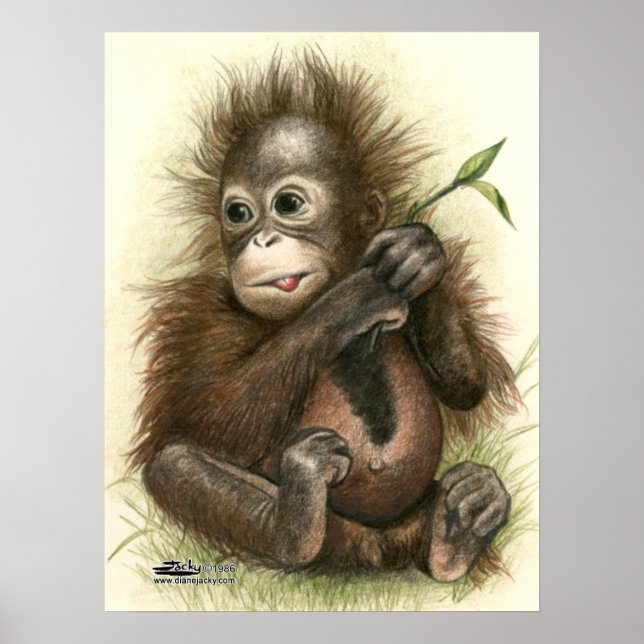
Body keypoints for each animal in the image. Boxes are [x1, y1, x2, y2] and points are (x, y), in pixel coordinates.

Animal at [128, 50, 519, 582]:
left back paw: (460, 524)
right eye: (238, 213)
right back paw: (293, 521)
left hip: (395, 532)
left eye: (288, 204)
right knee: (174, 464)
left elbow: (467, 387)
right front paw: (352, 299)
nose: (261, 240)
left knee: (461, 498)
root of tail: (369, 554)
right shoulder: (203, 315)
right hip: (333, 534)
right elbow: (199, 417)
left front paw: (419, 256)